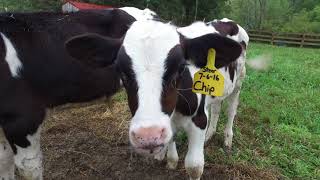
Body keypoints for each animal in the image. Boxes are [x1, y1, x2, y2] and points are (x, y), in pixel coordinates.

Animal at [66, 17, 249, 180]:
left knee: (231, 109)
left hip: (239, 81)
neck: (175, 109)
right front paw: (169, 158)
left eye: (181, 67)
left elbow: (194, 166)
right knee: (216, 107)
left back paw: (227, 139)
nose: (147, 136)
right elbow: (172, 139)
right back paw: (209, 135)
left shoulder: (199, 118)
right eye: (121, 72)